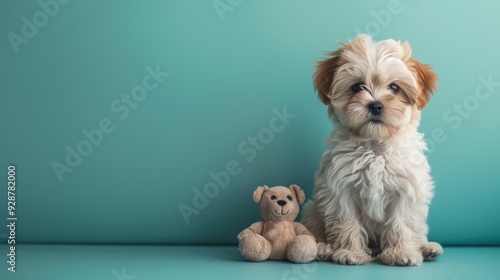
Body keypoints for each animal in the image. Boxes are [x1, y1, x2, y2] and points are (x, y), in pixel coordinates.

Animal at [302, 34, 444, 266]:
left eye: (394, 87)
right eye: (357, 87)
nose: (375, 105)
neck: (375, 145)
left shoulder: (406, 188)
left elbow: (401, 223)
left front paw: (400, 252)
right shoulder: (341, 188)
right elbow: (347, 221)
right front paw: (350, 252)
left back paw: (426, 247)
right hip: (313, 209)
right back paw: (323, 247)